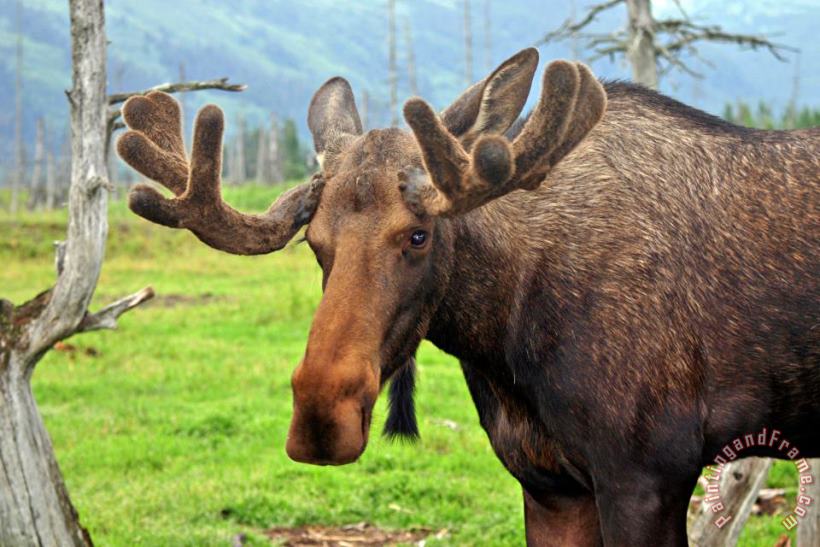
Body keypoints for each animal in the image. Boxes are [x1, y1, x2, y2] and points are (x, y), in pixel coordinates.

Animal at [117, 48, 819, 545]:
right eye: (314, 243)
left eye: (419, 234)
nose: (319, 415)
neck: (505, 334)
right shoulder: (549, 483)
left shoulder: (648, 474)